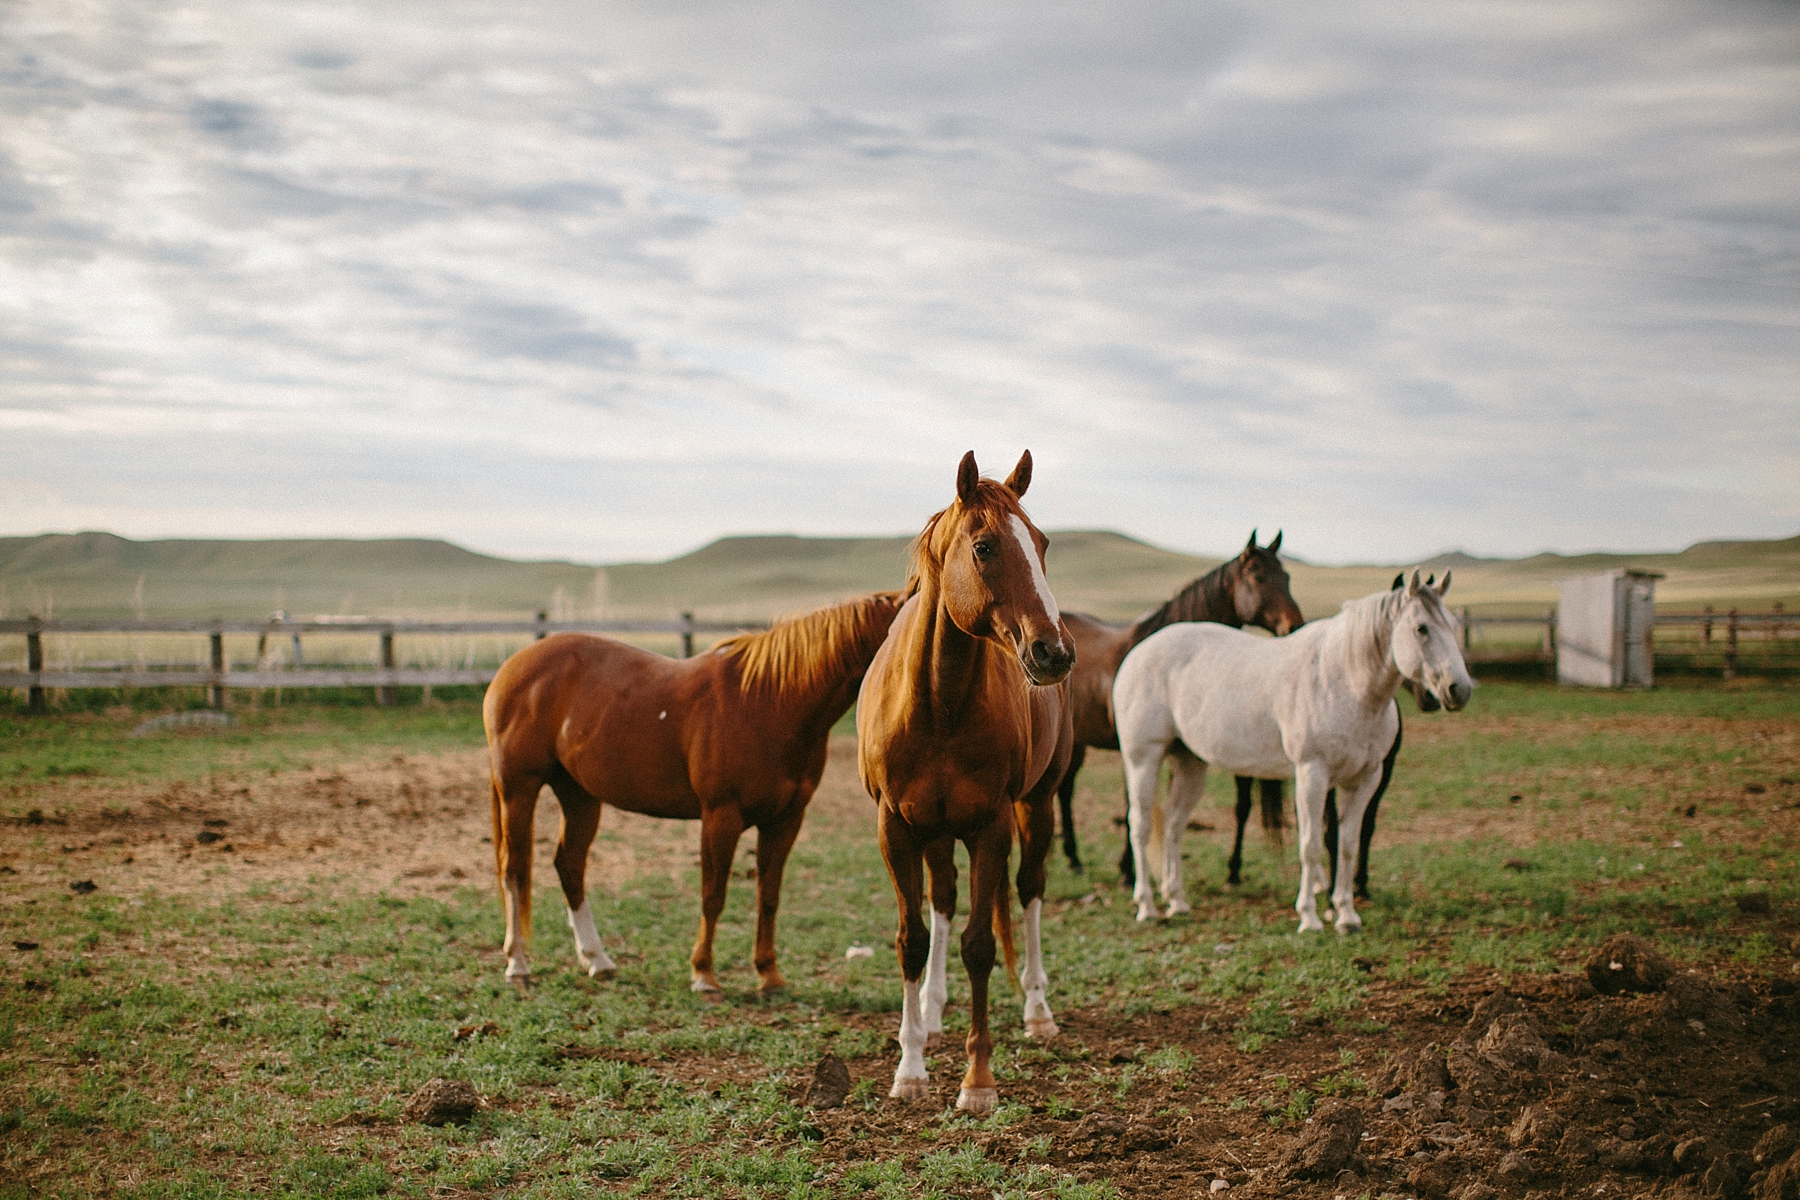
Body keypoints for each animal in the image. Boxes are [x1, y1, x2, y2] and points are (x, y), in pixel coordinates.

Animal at [482, 590, 900, 993]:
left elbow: (768, 896)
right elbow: (713, 896)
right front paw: (704, 976)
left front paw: (769, 975)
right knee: (515, 869)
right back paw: (518, 965)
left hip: (579, 796)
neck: (771, 701)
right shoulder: (720, 816)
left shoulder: (785, 820)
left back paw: (598, 960)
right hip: (519, 788)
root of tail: (513, 666)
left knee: (569, 866)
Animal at [853, 447, 1065, 1115]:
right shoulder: (896, 828)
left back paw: (1038, 1011)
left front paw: (978, 1080)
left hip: (1038, 805)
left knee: (1028, 892)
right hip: (936, 830)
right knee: (943, 899)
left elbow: (979, 945)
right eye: (986, 547)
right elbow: (914, 939)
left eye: (1042, 543)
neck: (938, 704)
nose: (1054, 652)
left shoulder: (991, 826)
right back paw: (931, 1011)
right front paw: (910, 1067)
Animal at [1051, 528, 1310, 877]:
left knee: (1066, 790)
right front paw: (1128, 869)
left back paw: (1074, 858)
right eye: (1258, 577)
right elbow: (1134, 803)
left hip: (1078, 739)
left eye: (1286, 576)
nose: (1294, 625)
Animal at [1108, 572, 1476, 928]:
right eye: (1421, 628)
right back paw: (1147, 907)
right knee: (1140, 825)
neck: (1344, 681)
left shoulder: (1363, 780)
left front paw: (1346, 916)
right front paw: (1310, 917)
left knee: (1174, 825)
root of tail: (1137, 653)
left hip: (1190, 763)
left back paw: (1178, 902)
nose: (1459, 689)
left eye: (1453, 625)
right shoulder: (1312, 774)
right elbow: (1311, 845)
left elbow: (1348, 845)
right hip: (1143, 759)